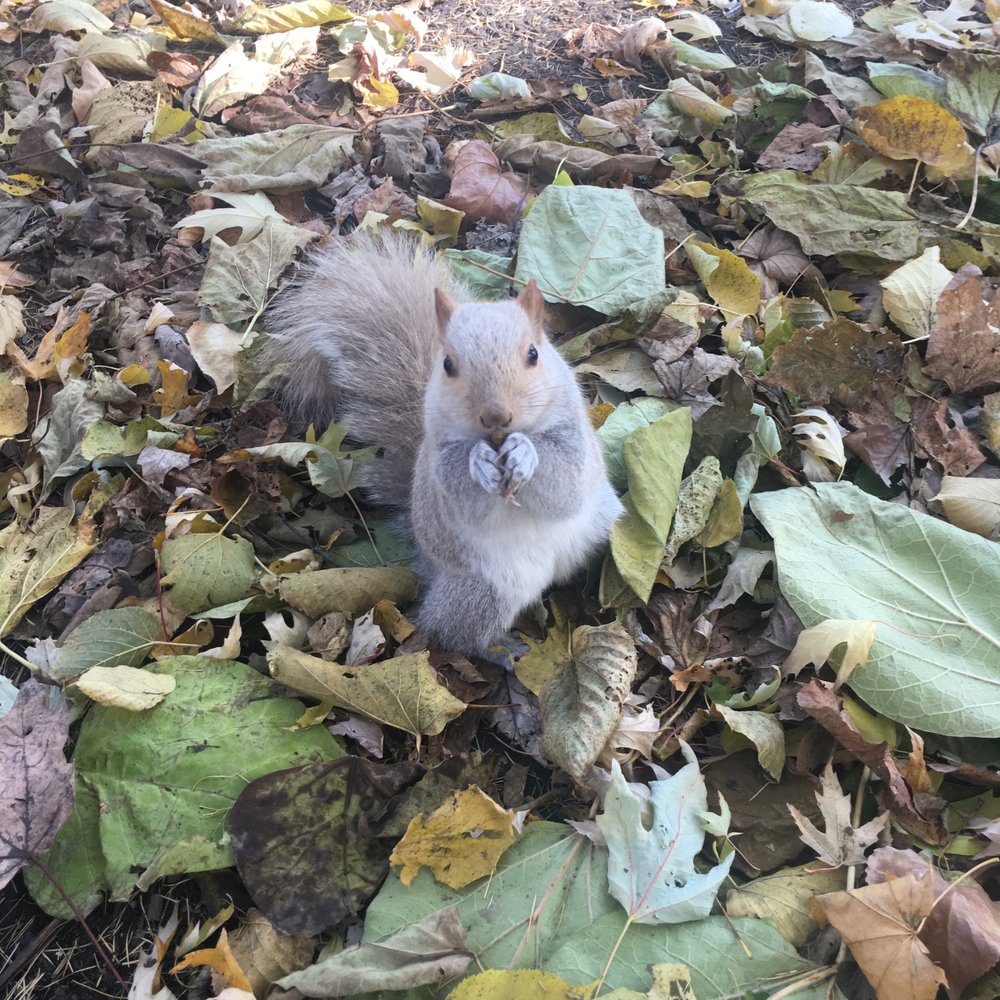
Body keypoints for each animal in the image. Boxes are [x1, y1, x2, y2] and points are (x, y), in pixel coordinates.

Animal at [263, 231, 624, 656]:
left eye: (534, 354)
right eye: (448, 365)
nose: (496, 417)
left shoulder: (574, 436)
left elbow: (565, 486)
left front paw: (525, 451)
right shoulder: (440, 461)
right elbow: (466, 498)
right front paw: (478, 461)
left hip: (601, 520)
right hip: (481, 593)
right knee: (451, 634)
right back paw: (501, 651)